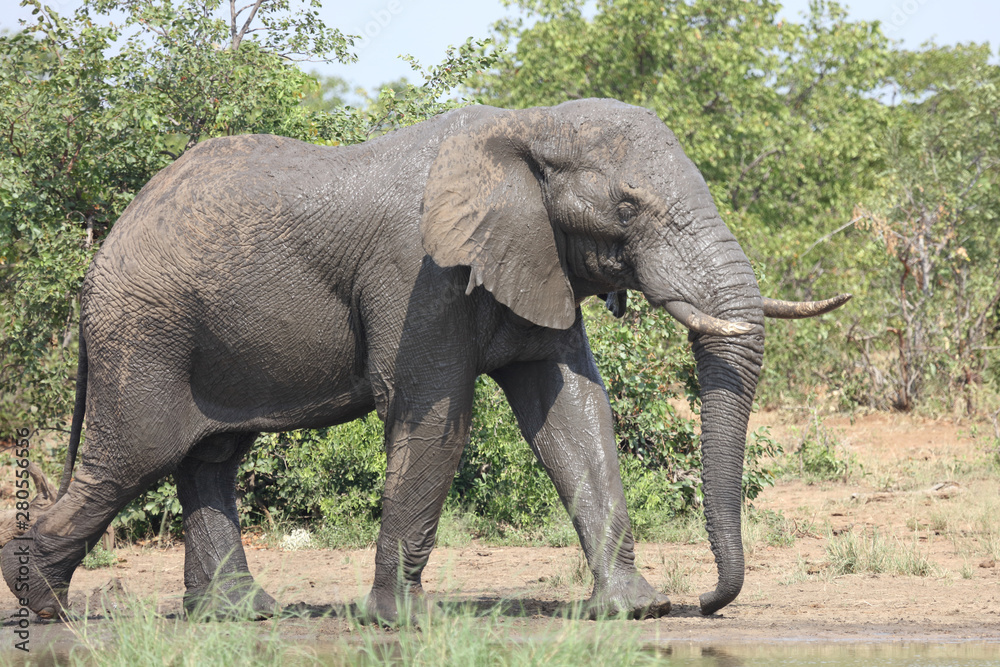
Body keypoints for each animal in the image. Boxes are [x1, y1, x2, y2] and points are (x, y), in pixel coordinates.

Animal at [0, 99, 848, 628]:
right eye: (629, 206)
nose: (703, 600)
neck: (525, 125)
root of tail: (98, 258)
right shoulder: (422, 274)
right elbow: (434, 412)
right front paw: (402, 622)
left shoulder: (534, 254)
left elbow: (574, 413)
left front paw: (635, 609)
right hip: (143, 332)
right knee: (129, 459)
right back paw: (41, 604)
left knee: (210, 458)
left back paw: (242, 615)